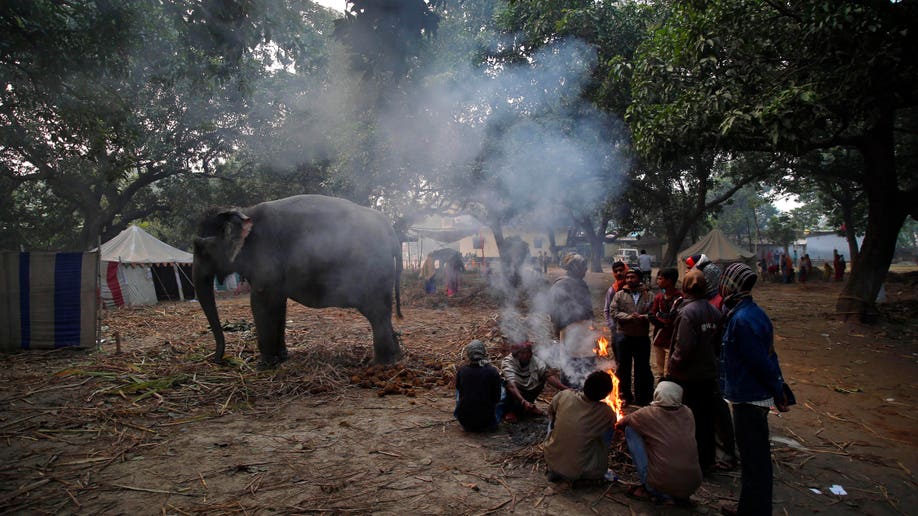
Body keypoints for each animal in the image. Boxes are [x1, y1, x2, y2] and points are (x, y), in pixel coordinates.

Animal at [192, 195, 403, 366]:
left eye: (201, 248)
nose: (218, 360)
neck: (244, 211)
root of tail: (391, 230)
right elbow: (278, 305)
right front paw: (281, 358)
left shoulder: (265, 259)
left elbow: (260, 303)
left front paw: (263, 365)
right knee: (383, 312)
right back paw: (396, 358)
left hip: (370, 272)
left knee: (376, 312)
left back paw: (380, 364)